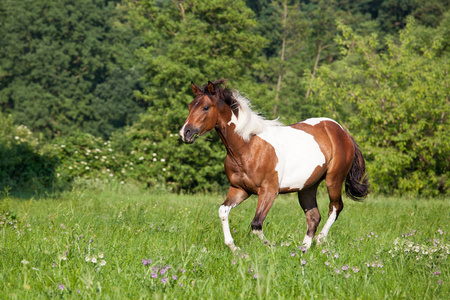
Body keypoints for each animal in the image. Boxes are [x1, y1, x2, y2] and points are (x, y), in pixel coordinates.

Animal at [179, 80, 370, 253]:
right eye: (190, 106)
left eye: (205, 107)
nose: (185, 133)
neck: (247, 146)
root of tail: (342, 132)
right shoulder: (239, 189)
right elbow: (223, 211)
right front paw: (233, 247)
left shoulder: (269, 191)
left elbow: (256, 224)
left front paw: (271, 247)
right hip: (307, 187)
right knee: (313, 216)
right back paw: (303, 249)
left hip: (333, 180)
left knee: (335, 207)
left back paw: (320, 240)